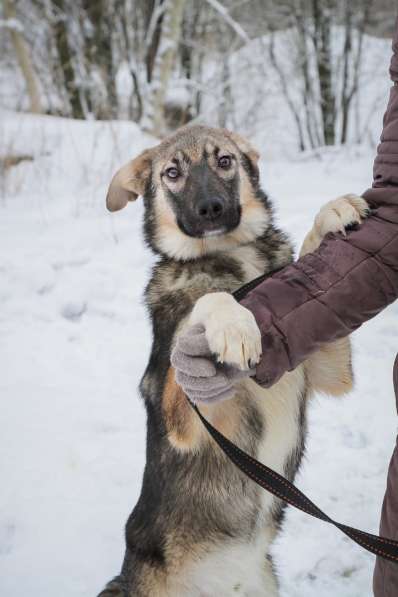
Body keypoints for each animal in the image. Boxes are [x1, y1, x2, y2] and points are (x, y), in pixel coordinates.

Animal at [98, 123, 366, 592]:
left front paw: (331, 212)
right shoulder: (182, 419)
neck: (232, 257)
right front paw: (232, 323)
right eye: (172, 173)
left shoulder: (325, 367)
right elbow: (209, 302)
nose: (211, 208)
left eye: (224, 161)